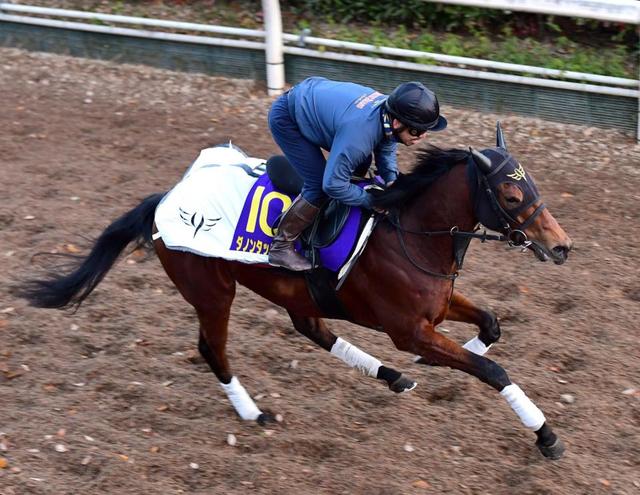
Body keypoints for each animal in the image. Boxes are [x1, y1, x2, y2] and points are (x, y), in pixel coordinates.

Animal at [18, 123, 568, 462]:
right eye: (511, 194)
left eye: (534, 184)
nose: (561, 246)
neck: (409, 231)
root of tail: (164, 200)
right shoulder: (409, 329)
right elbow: (492, 370)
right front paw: (546, 435)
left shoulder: (435, 308)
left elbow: (491, 325)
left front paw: (426, 365)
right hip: (213, 292)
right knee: (212, 348)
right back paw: (252, 411)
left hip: (291, 291)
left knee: (310, 328)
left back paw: (392, 377)